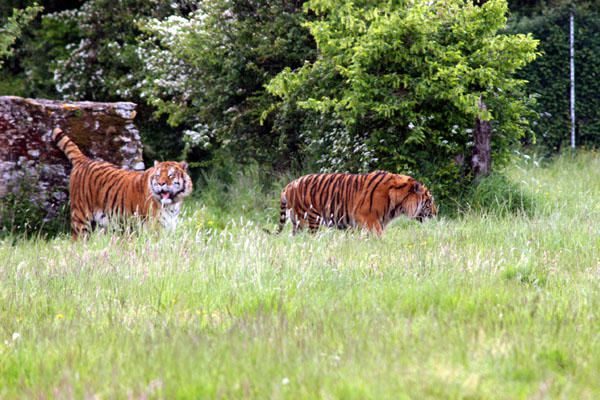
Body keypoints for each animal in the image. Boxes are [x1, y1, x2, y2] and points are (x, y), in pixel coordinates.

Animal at [52, 128, 192, 239]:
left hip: (100, 223)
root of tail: (84, 160)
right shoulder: (155, 228)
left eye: (170, 175)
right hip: (81, 217)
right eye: (158, 175)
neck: (172, 204)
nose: (160, 183)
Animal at [276, 171, 436, 234]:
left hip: (297, 222)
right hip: (310, 219)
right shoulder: (370, 220)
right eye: (429, 201)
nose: (436, 213)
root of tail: (288, 186)